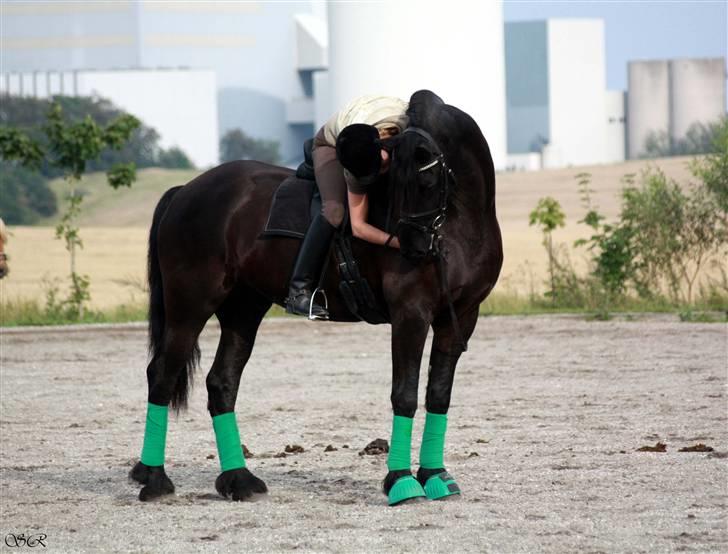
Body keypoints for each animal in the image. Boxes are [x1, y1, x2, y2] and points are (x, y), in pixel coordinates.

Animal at [129, 88, 500, 502]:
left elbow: (439, 394)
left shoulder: (461, 317)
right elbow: (404, 394)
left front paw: (435, 475)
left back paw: (239, 480)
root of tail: (186, 191)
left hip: (243, 310)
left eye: (428, 181)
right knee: (162, 375)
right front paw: (402, 482)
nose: (414, 248)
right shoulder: (411, 314)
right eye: (398, 187)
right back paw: (156, 480)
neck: (458, 225)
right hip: (190, 306)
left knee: (221, 383)